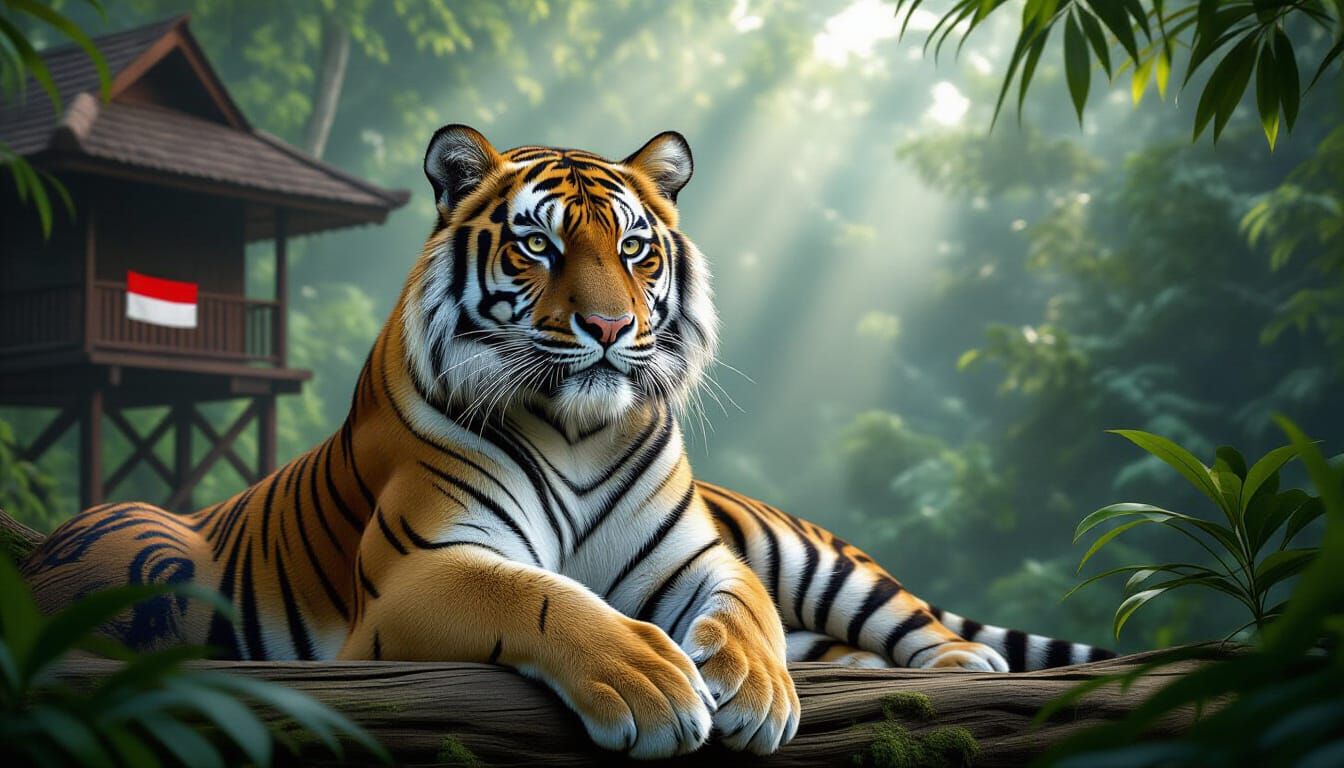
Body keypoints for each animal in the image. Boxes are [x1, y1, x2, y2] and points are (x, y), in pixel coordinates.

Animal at [23, 125, 1115, 759]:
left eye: (634, 247)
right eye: (538, 245)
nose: (606, 326)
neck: (578, 430)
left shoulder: (705, 561)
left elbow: (745, 616)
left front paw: (757, 688)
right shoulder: (424, 567)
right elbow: (540, 597)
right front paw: (650, 680)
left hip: (810, 556)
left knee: (904, 619)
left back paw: (961, 666)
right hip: (148, 548)